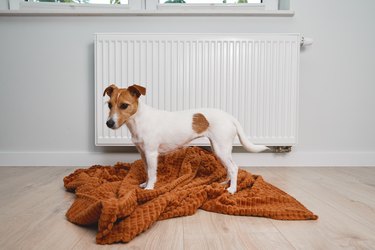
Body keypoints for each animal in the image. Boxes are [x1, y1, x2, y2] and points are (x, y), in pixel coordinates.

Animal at [103, 83, 268, 193]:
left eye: (124, 105)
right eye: (109, 105)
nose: (109, 123)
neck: (138, 120)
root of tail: (230, 117)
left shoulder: (151, 153)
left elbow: (152, 172)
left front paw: (149, 188)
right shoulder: (143, 153)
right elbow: (146, 171)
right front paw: (145, 183)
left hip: (221, 148)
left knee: (234, 168)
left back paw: (232, 189)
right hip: (219, 149)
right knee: (231, 167)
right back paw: (225, 183)